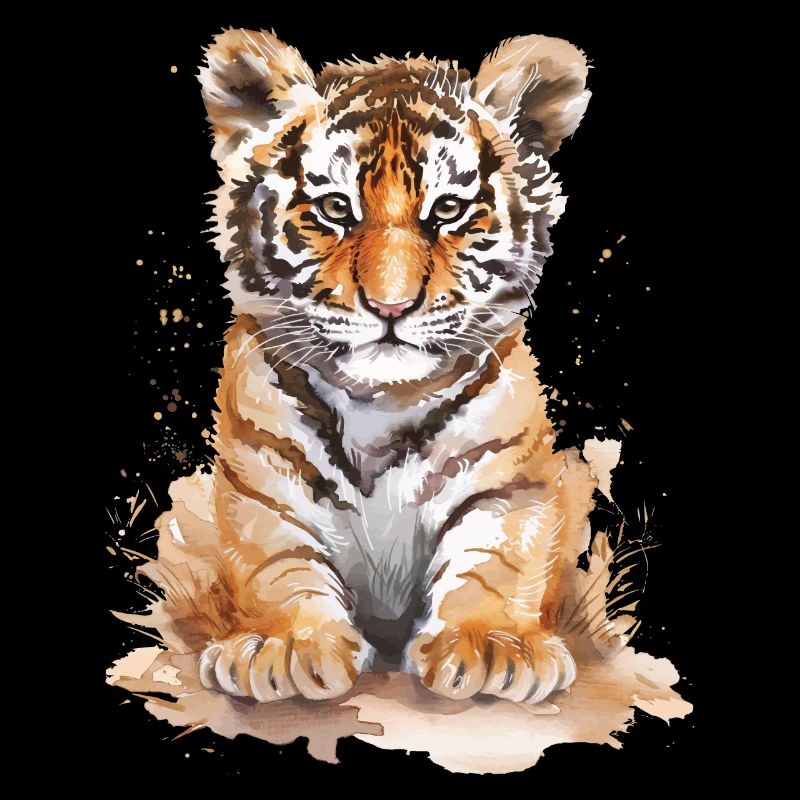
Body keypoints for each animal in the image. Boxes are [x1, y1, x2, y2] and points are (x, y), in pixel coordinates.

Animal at [192, 28, 597, 705]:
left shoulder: (509, 478)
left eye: (449, 210)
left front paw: (493, 646)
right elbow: (275, 560)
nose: (391, 304)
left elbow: (496, 558)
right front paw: (284, 646)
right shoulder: (260, 476)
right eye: (335, 208)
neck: (379, 404)